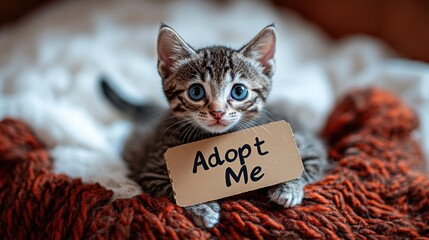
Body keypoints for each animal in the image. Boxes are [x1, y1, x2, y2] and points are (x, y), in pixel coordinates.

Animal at [101, 24, 328, 229]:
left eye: (239, 91)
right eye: (196, 92)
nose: (218, 112)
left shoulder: (310, 148)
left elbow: (304, 168)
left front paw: (288, 189)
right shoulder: (151, 170)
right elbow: (176, 190)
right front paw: (204, 208)